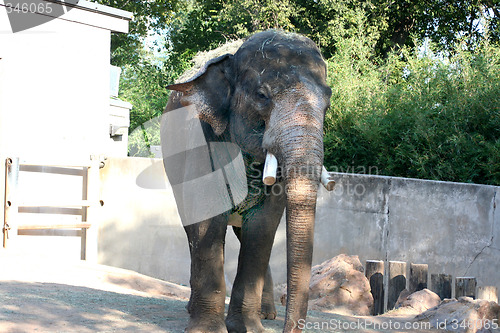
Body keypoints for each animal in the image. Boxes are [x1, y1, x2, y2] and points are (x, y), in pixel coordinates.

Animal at [161, 29, 332, 330]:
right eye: (262, 95)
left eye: (328, 103)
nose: (289, 330)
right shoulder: (203, 141)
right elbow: (206, 220)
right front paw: (207, 331)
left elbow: (263, 227)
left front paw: (248, 329)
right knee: (193, 229)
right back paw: (192, 309)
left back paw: (267, 315)